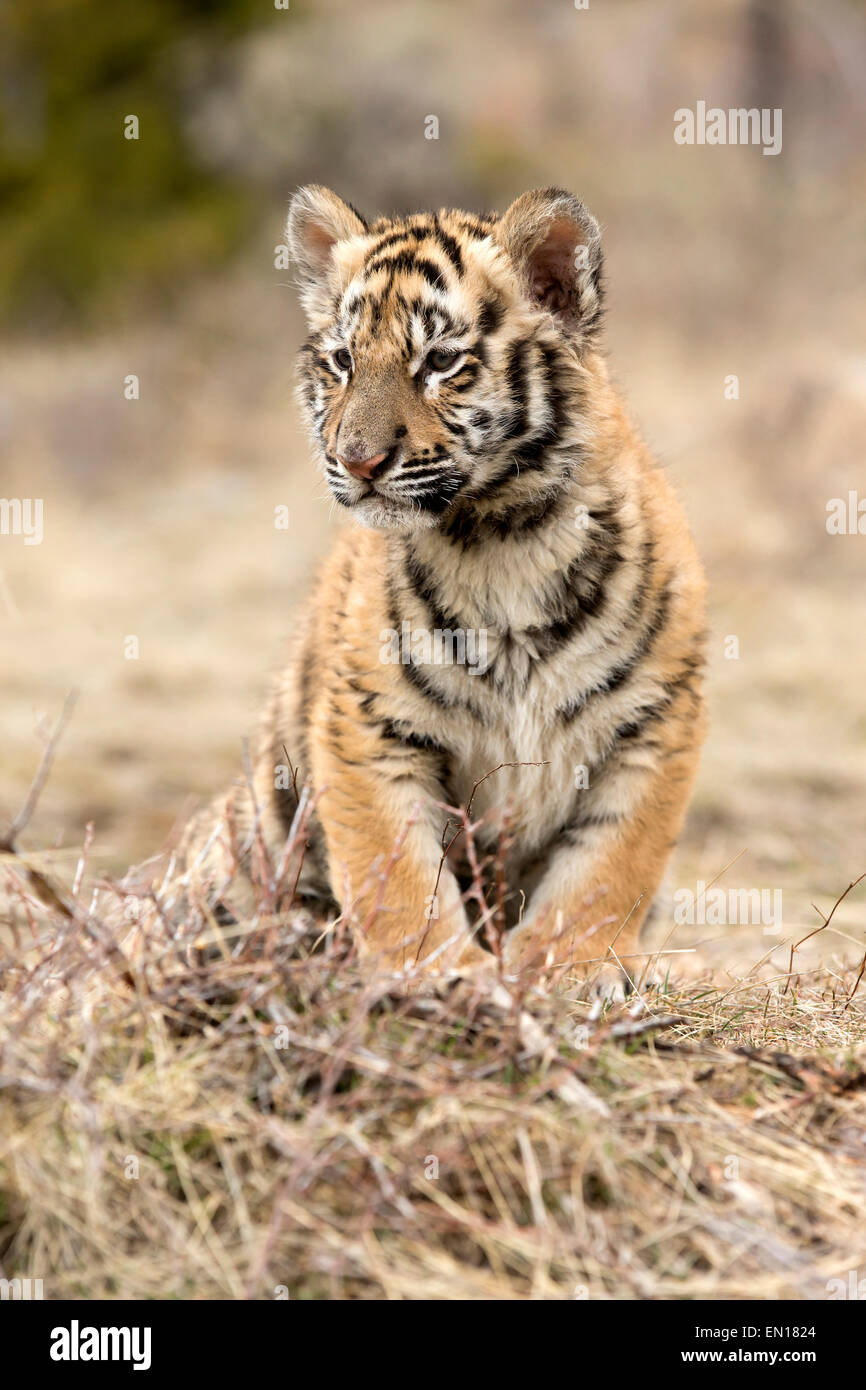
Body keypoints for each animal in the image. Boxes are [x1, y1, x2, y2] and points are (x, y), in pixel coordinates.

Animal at [174, 184, 707, 985]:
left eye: (440, 361)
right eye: (342, 361)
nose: (356, 460)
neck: (502, 533)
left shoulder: (655, 723)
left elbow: (609, 868)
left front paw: (569, 971)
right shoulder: (368, 730)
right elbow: (396, 879)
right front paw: (438, 976)